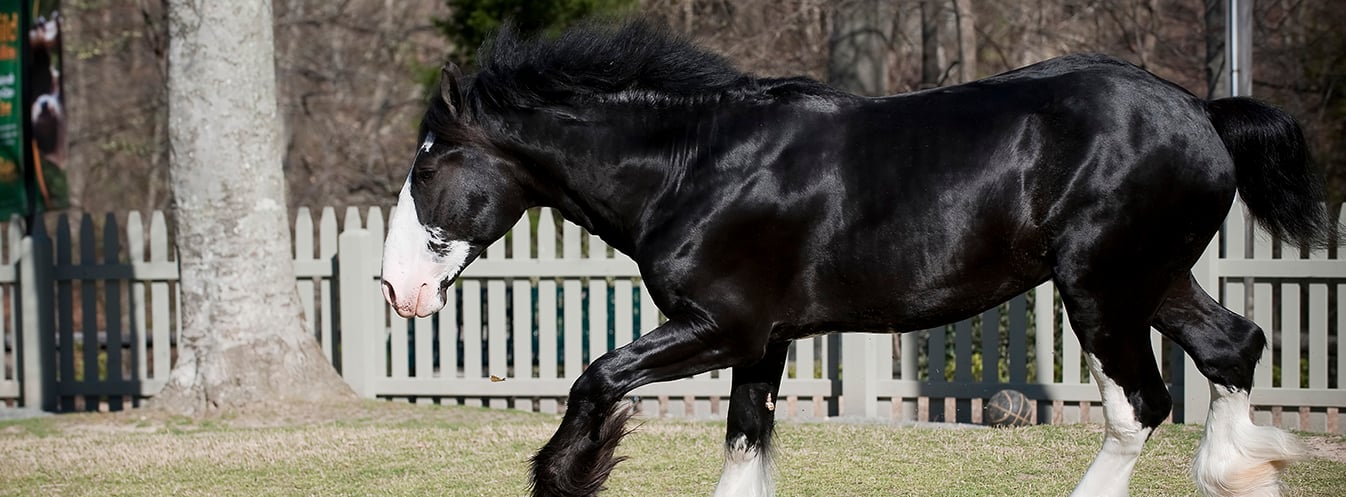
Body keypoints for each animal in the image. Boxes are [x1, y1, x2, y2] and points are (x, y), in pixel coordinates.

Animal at [379, 21, 1329, 497]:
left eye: (428, 163)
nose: (398, 288)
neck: (696, 166)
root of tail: (1204, 111)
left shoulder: (720, 326)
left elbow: (596, 380)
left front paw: (567, 472)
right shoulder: (763, 341)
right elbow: (743, 447)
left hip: (1101, 289)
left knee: (1141, 407)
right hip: (1152, 280)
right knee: (1234, 347)